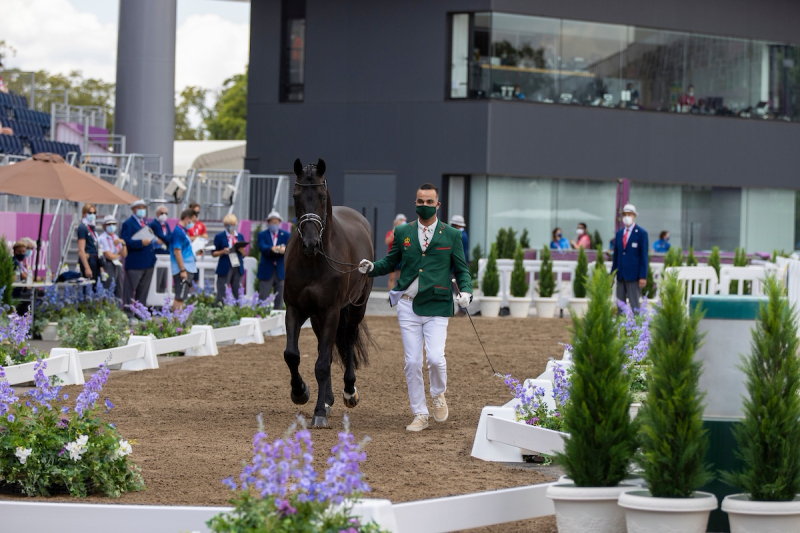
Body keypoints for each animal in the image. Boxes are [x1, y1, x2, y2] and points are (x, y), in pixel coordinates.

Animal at [282, 158, 375, 428]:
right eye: (296, 196)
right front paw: (300, 392)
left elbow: (322, 363)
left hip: (356, 307)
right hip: (317, 318)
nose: (311, 244)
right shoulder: (295, 309)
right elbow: (292, 355)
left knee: (349, 340)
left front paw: (319, 414)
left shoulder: (332, 311)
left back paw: (348, 392)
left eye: (322, 197)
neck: (314, 262)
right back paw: (327, 399)